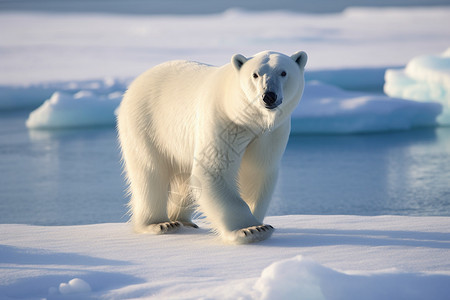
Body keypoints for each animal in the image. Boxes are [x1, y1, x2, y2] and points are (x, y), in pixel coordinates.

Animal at [117, 49, 306, 244]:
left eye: (283, 72)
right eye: (255, 74)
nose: (268, 96)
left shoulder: (270, 134)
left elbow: (258, 171)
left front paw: (257, 221)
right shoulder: (223, 120)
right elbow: (214, 169)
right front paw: (252, 229)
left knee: (183, 179)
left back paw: (184, 221)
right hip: (146, 124)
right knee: (150, 172)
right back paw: (160, 224)